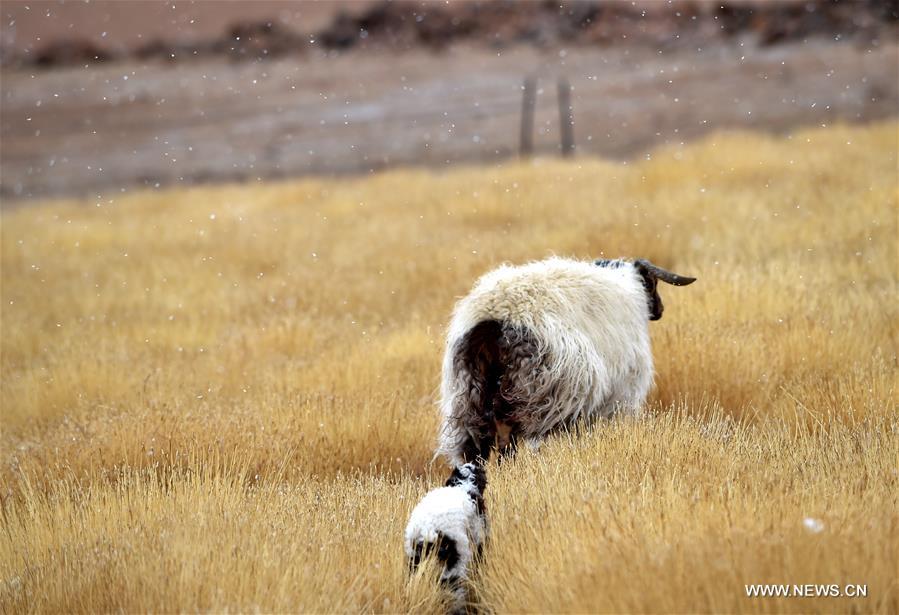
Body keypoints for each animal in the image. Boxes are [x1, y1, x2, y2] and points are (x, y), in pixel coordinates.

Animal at [406, 462, 488, 608]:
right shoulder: (478, 532)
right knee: (453, 586)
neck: (463, 485)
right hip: (456, 558)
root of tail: (429, 530)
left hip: (415, 558)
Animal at [436, 256, 696, 466]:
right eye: (652, 282)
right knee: (512, 441)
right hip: (542, 397)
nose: (660, 309)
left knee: (481, 450)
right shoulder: (621, 398)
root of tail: (493, 320)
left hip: (469, 398)